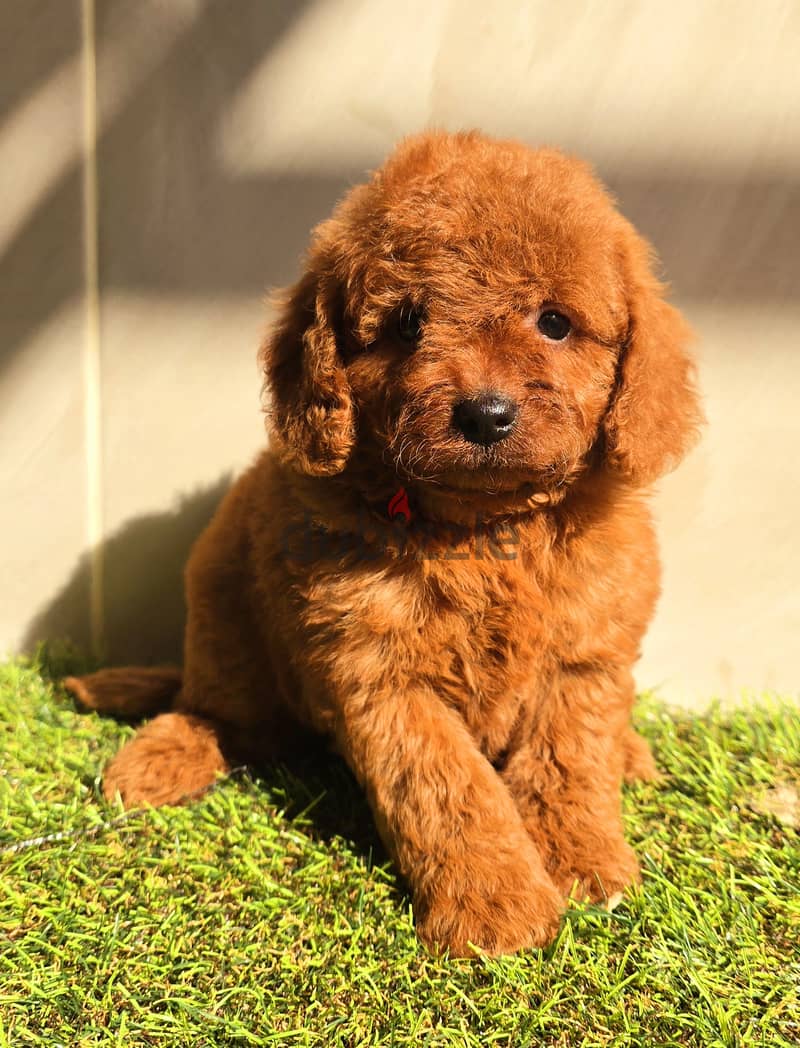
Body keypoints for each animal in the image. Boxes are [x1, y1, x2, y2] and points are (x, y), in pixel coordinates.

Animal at [67, 131, 700, 959]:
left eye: (555, 323)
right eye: (406, 324)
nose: (486, 414)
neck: (483, 528)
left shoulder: (585, 655)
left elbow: (568, 762)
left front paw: (583, 863)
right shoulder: (380, 673)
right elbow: (447, 788)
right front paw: (497, 906)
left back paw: (630, 755)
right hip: (221, 597)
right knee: (222, 709)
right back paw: (161, 756)